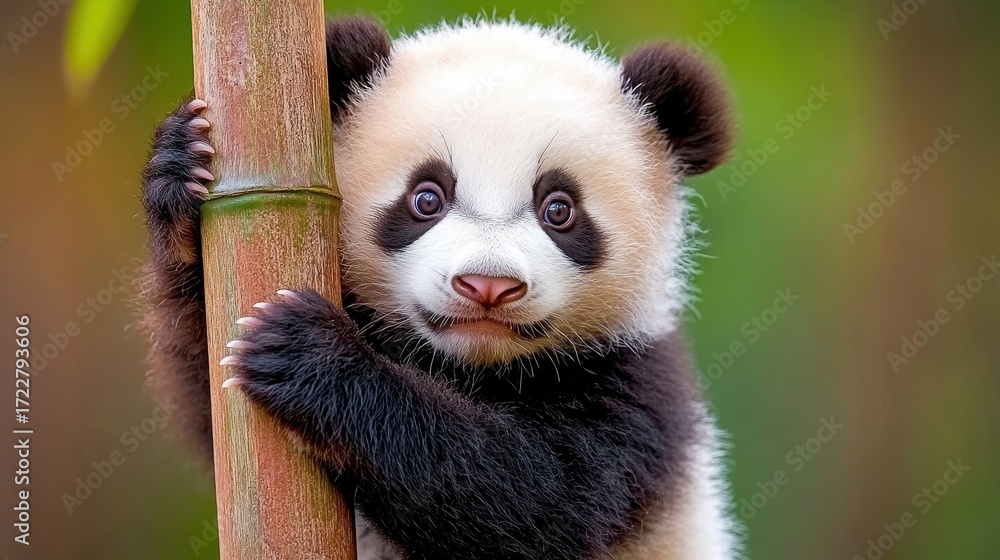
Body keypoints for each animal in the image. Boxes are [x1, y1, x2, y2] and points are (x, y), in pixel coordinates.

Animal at [140, 16, 737, 560]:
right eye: (427, 198)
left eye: (559, 210)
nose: (488, 285)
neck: (472, 367)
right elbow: (215, 410)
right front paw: (181, 168)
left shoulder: (635, 397)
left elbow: (528, 501)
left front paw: (309, 355)